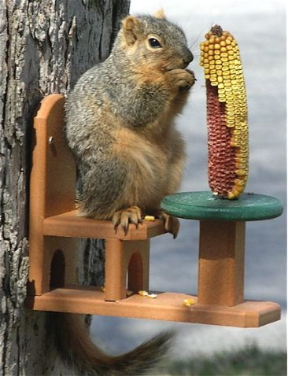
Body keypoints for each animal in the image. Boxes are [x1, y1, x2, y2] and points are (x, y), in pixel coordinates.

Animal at [58, 8, 195, 376]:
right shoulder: (118, 90)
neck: (134, 66)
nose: (189, 58)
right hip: (115, 165)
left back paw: (162, 213)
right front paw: (176, 79)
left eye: (182, 34)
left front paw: (189, 78)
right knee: (101, 210)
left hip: (174, 158)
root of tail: (84, 197)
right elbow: (139, 106)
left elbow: (170, 112)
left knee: (151, 202)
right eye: (154, 42)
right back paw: (123, 212)